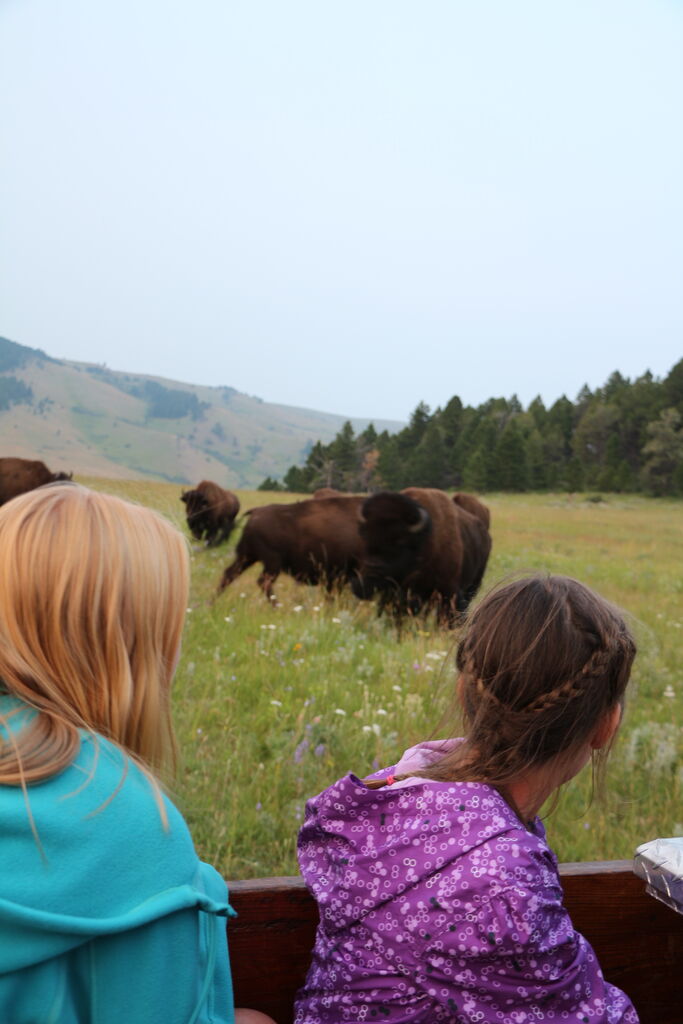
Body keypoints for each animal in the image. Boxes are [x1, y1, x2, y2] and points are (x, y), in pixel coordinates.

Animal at [352, 487, 491, 622]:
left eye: (400, 542)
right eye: (365, 537)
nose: (370, 573)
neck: (426, 543)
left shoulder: (448, 590)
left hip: (473, 585)